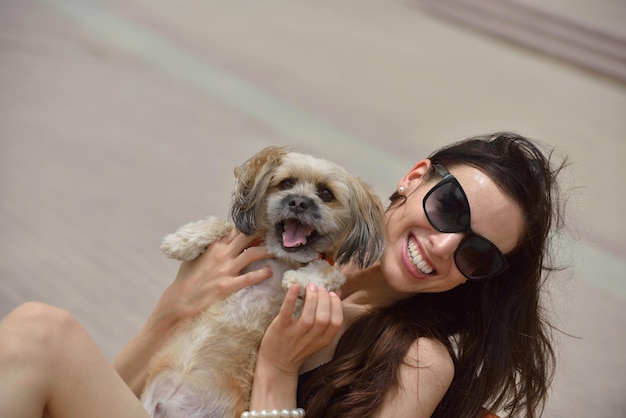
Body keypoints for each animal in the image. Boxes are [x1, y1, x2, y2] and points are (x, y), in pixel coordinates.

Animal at [141, 146, 386, 418]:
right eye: (286, 183)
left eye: (326, 194)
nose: (298, 202)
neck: (282, 258)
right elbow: (224, 225)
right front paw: (182, 240)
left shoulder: (320, 281)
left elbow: (328, 270)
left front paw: (300, 278)